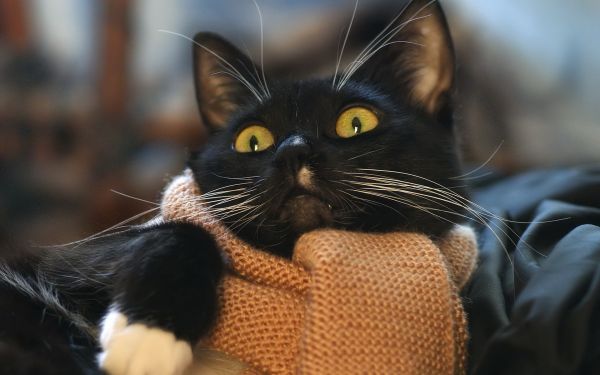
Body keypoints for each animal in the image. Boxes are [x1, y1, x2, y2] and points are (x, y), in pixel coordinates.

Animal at [0, 1, 468, 374]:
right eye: (252, 140)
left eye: (356, 122)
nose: (293, 151)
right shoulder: (67, 261)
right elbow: (182, 232)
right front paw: (147, 339)